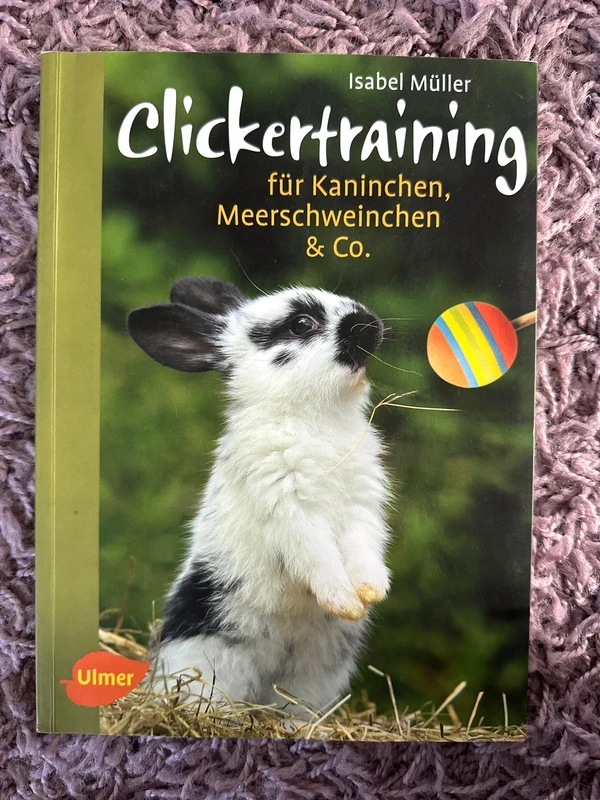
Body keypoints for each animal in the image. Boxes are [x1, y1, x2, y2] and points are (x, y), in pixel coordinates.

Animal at [127, 277, 391, 714]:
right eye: (301, 324)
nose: (371, 323)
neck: (314, 419)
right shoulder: (288, 510)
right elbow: (317, 557)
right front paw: (344, 601)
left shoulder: (362, 506)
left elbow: (364, 550)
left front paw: (371, 593)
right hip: (211, 660)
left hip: (315, 674)